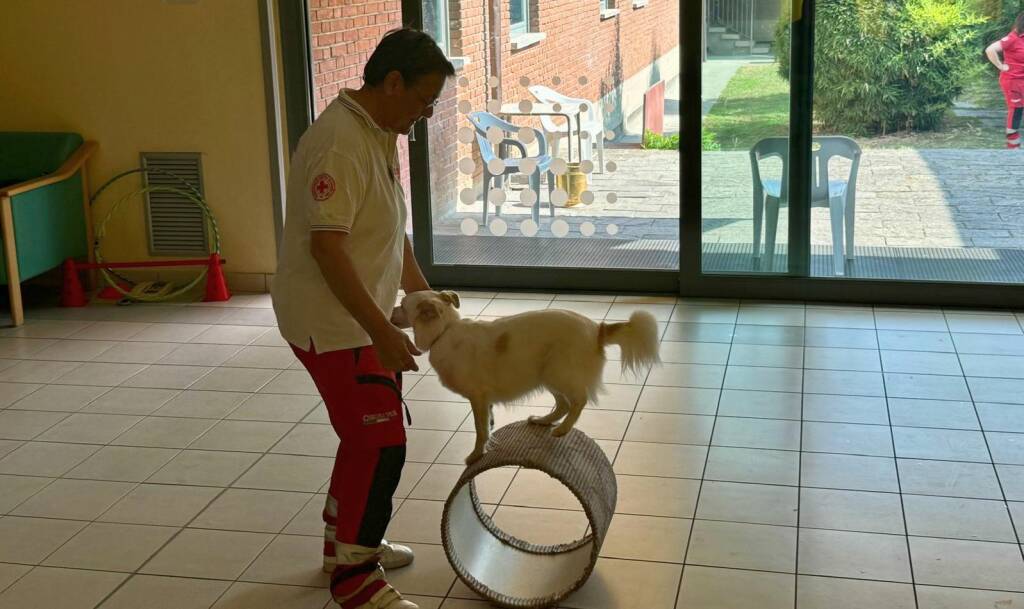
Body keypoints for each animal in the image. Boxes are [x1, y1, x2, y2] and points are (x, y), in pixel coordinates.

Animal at [395, 288, 659, 462]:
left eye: (403, 305)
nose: (392, 309)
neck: (445, 330)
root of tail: (596, 329)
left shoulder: (477, 398)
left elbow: (480, 430)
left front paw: (477, 453)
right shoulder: (484, 400)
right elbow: (487, 424)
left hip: (558, 372)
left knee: (579, 401)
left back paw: (563, 429)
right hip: (546, 375)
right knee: (563, 404)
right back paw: (544, 420)